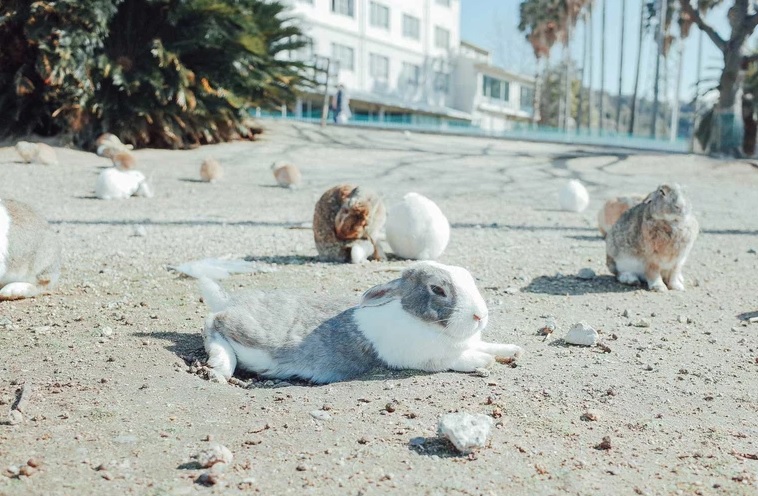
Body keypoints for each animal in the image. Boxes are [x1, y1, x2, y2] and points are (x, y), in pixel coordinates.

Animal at [199, 260, 524, 384]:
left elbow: (488, 345)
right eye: (437, 289)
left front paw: (512, 350)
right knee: (214, 324)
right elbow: (459, 359)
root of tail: (229, 303)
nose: (480, 316)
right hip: (245, 333)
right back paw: (220, 366)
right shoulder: (427, 359)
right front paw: (482, 361)